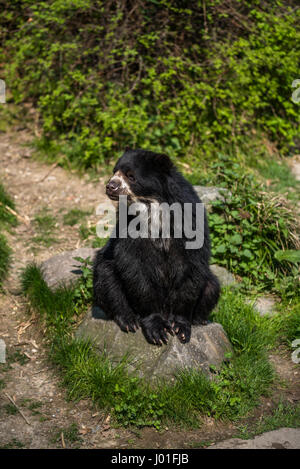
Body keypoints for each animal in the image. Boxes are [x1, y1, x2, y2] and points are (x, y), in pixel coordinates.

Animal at [93, 149, 220, 344]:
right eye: (114, 171)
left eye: (131, 176)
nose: (110, 186)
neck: (152, 206)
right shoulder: (129, 226)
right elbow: (134, 267)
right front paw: (157, 330)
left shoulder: (189, 220)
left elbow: (192, 265)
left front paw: (181, 328)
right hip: (106, 270)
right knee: (107, 278)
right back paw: (129, 320)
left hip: (209, 284)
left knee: (212, 287)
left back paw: (200, 320)